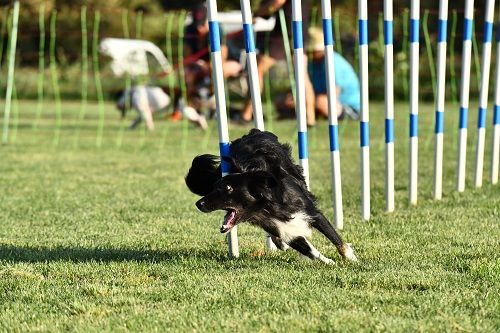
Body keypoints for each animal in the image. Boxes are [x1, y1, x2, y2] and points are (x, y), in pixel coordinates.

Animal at [186, 128, 358, 264]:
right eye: (214, 187)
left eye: (228, 188)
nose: (199, 204)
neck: (268, 206)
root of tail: (253, 132)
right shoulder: (281, 228)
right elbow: (310, 250)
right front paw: (329, 262)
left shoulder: (312, 213)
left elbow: (336, 239)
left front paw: (352, 259)